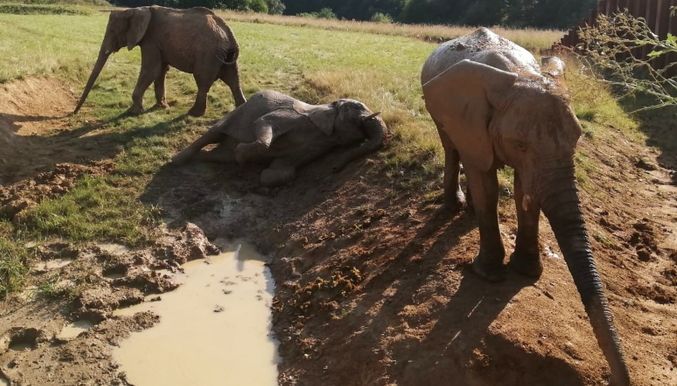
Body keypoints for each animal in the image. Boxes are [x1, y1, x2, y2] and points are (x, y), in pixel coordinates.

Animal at [73, 5, 246, 117]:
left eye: (113, 31)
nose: (73, 113)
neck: (135, 9)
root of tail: (229, 35)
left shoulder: (151, 40)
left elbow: (151, 70)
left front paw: (133, 112)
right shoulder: (157, 42)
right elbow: (160, 71)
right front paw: (161, 107)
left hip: (208, 54)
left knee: (203, 81)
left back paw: (193, 114)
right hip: (225, 56)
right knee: (233, 80)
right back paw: (240, 110)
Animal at [169, 90, 386, 187]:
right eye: (358, 108)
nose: (334, 168)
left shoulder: (312, 149)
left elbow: (280, 172)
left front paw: (259, 172)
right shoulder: (293, 118)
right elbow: (263, 123)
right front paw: (242, 155)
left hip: (222, 151)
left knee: (217, 155)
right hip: (235, 115)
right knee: (213, 133)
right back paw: (177, 161)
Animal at [420, 28, 632, 384]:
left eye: (578, 137)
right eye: (519, 144)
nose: (614, 377)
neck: (520, 75)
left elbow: (524, 191)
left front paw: (527, 271)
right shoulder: (468, 118)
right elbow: (487, 182)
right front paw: (487, 274)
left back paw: (468, 212)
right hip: (435, 106)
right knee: (451, 146)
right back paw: (454, 207)